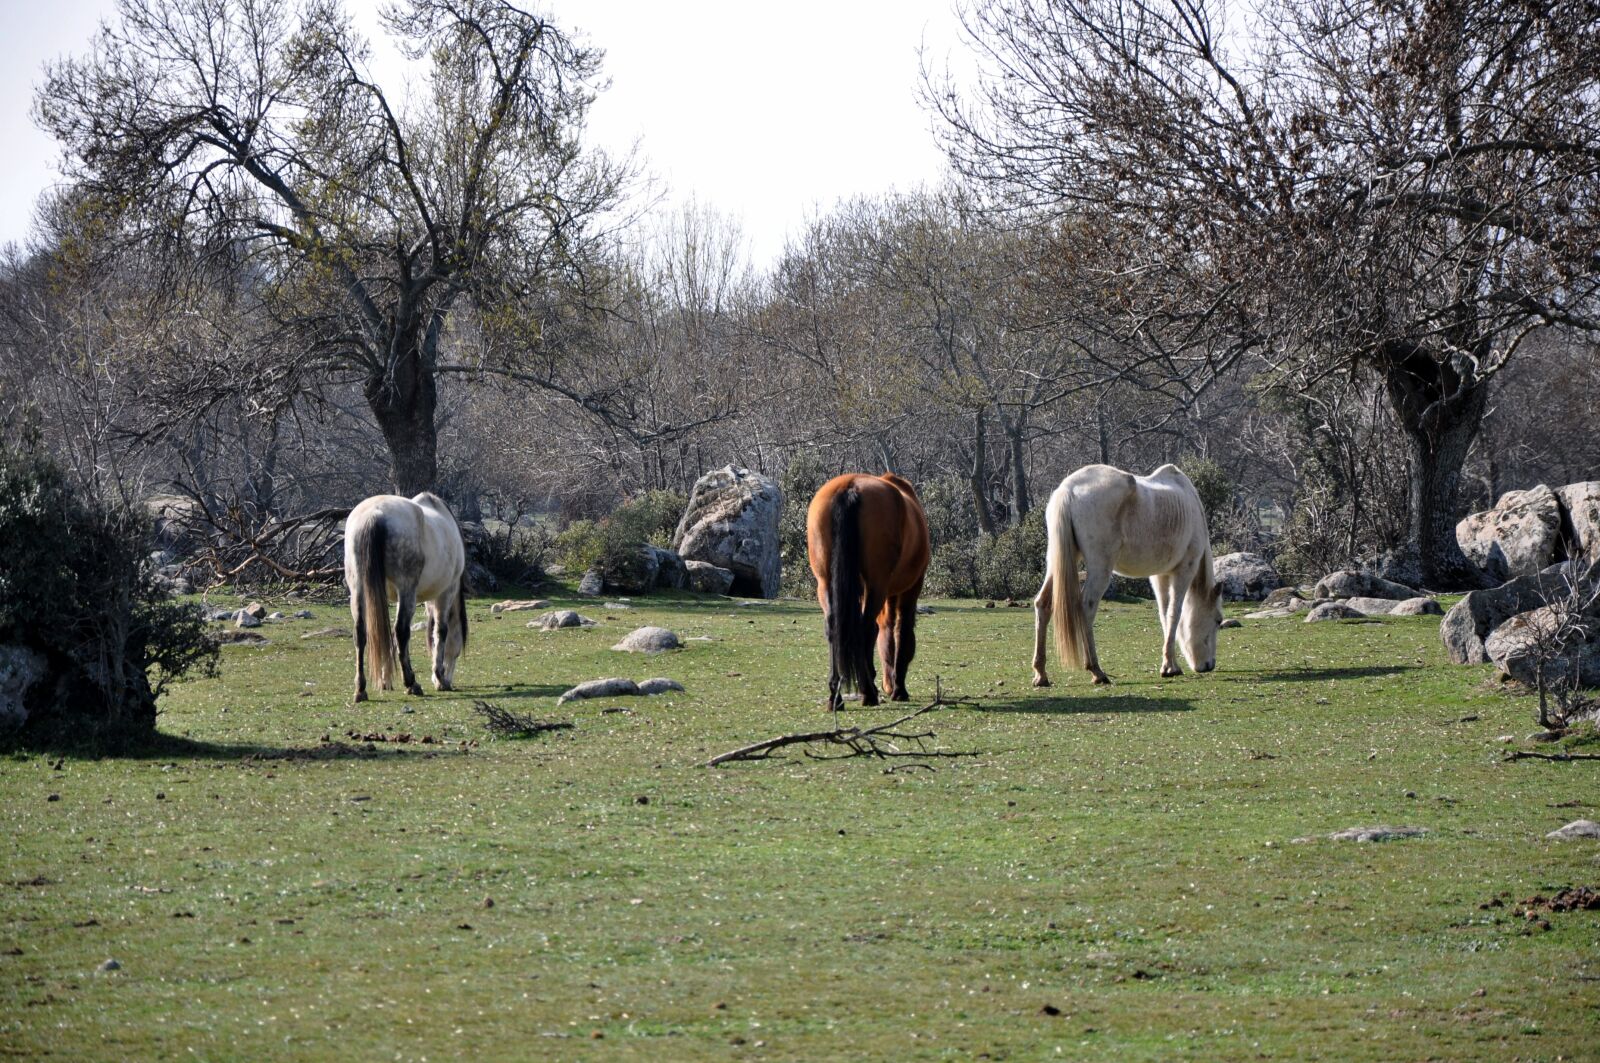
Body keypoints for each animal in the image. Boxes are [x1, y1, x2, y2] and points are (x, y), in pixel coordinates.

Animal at [343, 491, 468, 702]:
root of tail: (374, 514)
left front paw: (385, 680)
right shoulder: (445, 592)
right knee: (401, 631)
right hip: (407, 590)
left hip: (358, 588)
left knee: (361, 632)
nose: (449, 680)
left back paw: (360, 689)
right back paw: (412, 683)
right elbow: (440, 631)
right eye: (457, 652)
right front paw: (439, 677)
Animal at [806, 472, 931, 716]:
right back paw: (868, 693)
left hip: (825, 583)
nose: (888, 684)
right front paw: (899, 689)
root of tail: (849, 486)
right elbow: (901, 633)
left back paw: (836, 696)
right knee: (863, 628)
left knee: (834, 627)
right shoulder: (911, 588)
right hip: (877, 585)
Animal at [1031, 463, 1223, 687]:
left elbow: (1164, 614)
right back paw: (1096, 670)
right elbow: (1174, 614)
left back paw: (1041, 674)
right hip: (1100, 569)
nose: (1209, 665)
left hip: (1058, 560)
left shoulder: (1159, 576)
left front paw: (1169, 664)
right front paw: (1170, 667)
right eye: (1218, 620)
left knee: (1043, 604)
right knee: (1086, 607)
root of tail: (1068, 490)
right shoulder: (1184, 570)